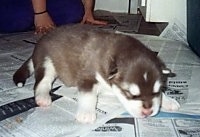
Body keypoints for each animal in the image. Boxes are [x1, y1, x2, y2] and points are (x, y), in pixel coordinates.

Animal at [13, 24, 180, 123]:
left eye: (156, 91)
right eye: (129, 93)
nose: (148, 112)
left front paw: (168, 101)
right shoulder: (88, 76)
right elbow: (88, 96)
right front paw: (86, 114)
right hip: (47, 61)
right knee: (42, 83)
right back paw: (43, 98)